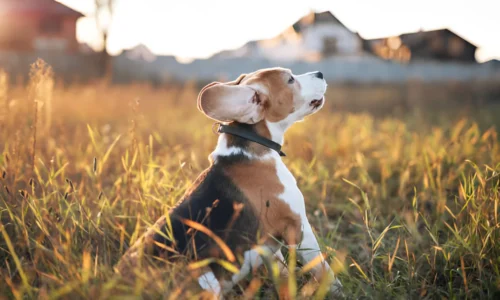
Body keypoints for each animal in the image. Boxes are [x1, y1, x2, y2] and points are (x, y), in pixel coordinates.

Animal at [116, 67, 344, 298]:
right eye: (290, 79)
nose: (320, 73)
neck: (252, 146)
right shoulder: (298, 227)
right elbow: (323, 269)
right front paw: (338, 291)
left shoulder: (269, 247)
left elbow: (282, 272)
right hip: (206, 280)